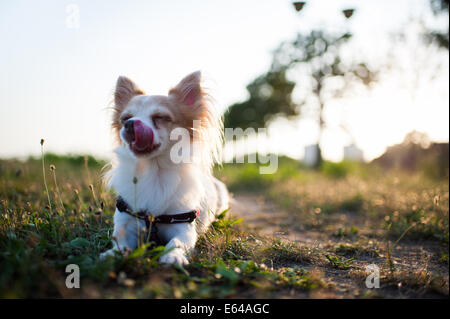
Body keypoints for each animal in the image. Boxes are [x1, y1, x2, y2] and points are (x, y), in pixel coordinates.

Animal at [100, 71, 230, 266]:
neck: (154, 171)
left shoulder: (183, 228)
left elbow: (177, 242)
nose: (130, 124)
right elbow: (120, 242)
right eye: (125, 118)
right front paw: (112, 254)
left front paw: (173, 256)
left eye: (160, 118)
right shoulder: (127, 222)